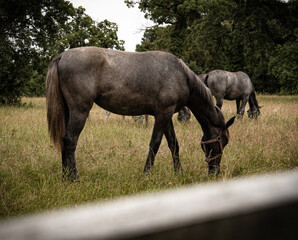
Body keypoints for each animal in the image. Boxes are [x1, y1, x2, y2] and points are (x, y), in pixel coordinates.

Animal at [46, 47, 235, 179]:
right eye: (223, 140)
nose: (215, 171)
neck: (181, 75)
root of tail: (62, 57)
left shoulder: (166, 115)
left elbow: (173, 144)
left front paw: (178, 172)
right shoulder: (163, 114)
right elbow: (155, 143)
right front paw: (147, 174)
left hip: (69, 112)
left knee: (64, 140)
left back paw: (65, 176)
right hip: (80, 111)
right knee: (70, 140)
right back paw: (74, 178)